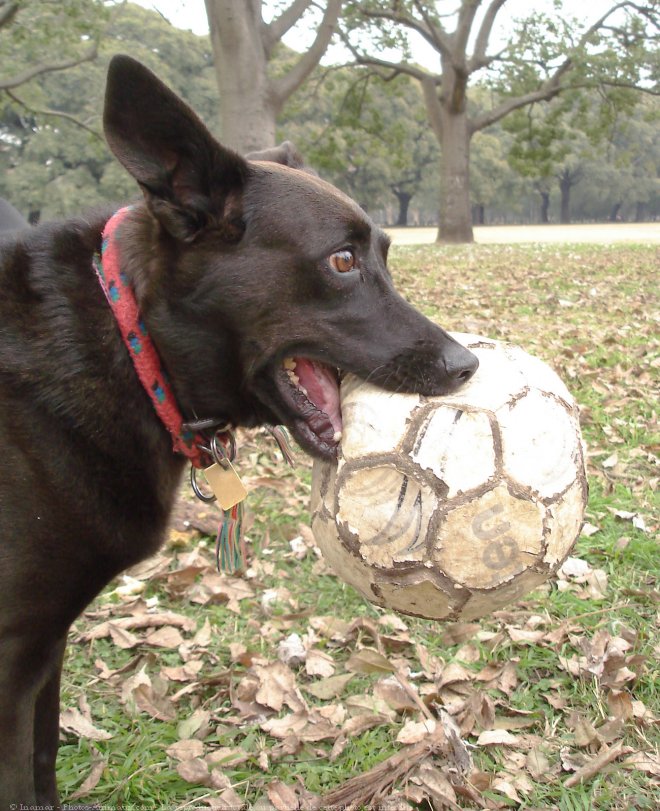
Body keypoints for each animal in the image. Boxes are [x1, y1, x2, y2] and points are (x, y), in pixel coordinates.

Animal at [0, 55, 476, 804]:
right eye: (343, 261)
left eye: (386, 254)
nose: (467, 366)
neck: (136, 345)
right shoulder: (16, 653)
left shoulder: (42, 649)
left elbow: (42, 766)